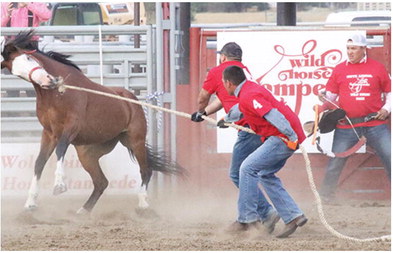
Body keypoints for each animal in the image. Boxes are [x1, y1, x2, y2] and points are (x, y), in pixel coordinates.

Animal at [1, 30, 183, 215]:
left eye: (28, 58)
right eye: (16, 71)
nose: (48, 80)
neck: (59, 94)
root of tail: (132, 100)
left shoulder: (71, 127)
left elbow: (60, 150)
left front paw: (59, 185)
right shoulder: (49, 133)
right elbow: (39, 163)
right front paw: (30, 203)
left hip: (134, 140)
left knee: (145, 171)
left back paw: (143, 204)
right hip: (88, 153)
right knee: (101, 182)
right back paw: (83, 210)